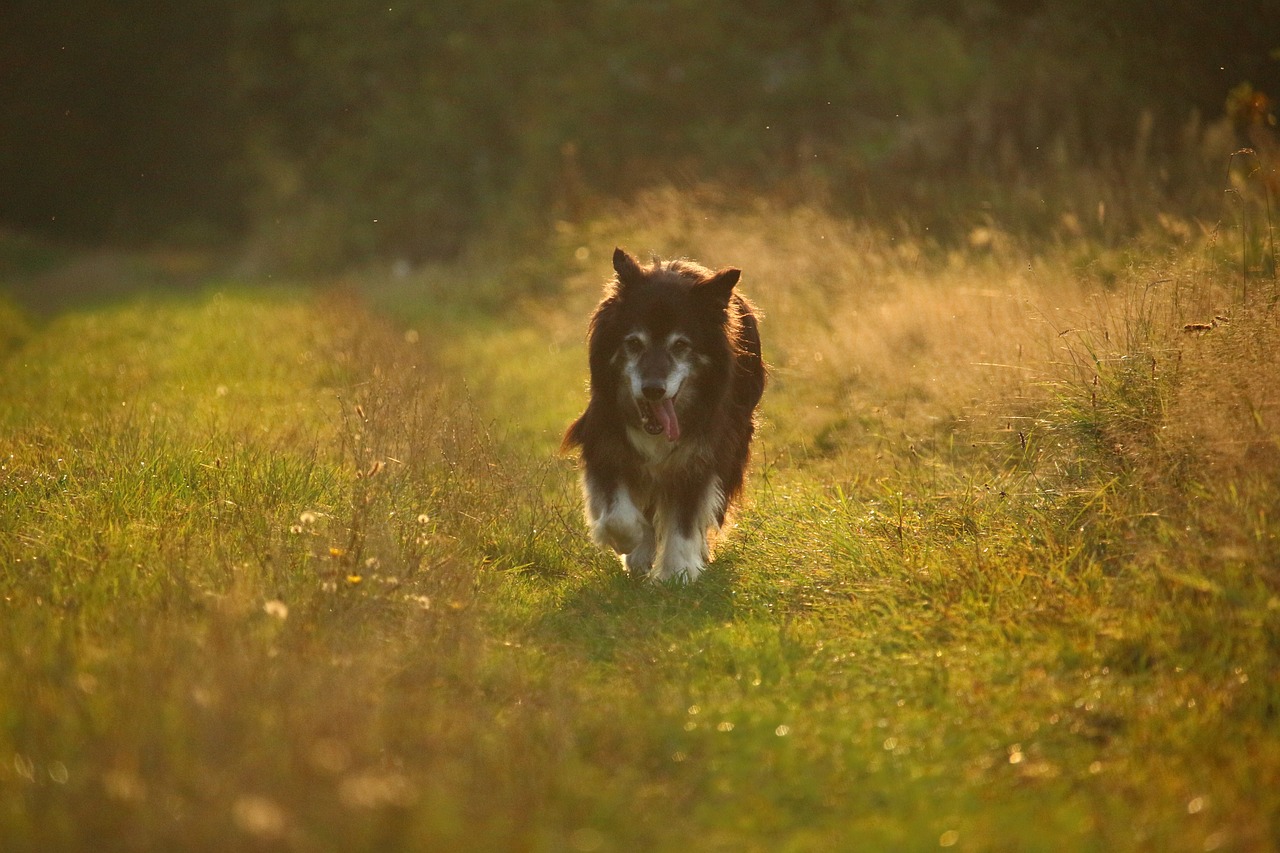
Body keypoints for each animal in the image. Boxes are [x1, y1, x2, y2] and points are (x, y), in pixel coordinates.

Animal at [565, 245, 762, 578]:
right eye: (633, 343)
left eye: (681, 345)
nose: (653, 390)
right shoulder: (604, 439)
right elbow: (618, 513)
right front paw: (631, 543)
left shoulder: (700, 454)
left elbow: (685, 520)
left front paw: (676, 573)